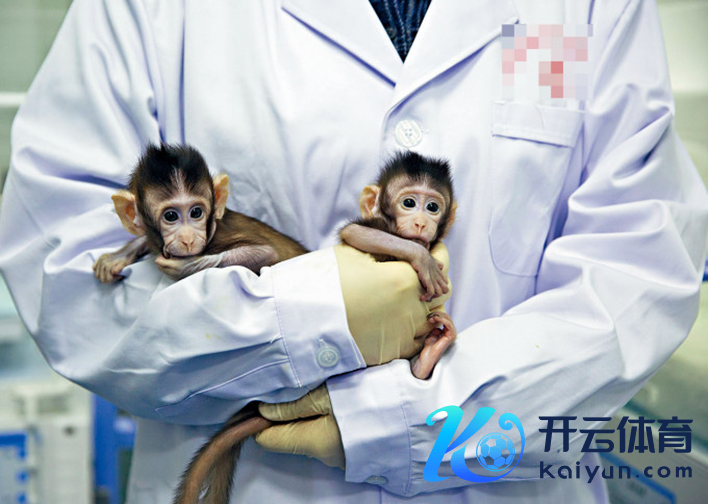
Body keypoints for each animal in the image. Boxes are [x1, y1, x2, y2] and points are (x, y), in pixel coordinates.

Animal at [93, 143, 307, 283]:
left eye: (196, 212)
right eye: (170, 216)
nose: (188, 239)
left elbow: (267, 252)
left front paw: (187, 266)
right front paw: (117, 256)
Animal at [171, 151, 458, 504]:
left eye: (432, 206)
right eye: (409, 202)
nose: (420, 223)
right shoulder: (376, 227)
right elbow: (357, 234)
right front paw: (420, 256)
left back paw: (428, 356)